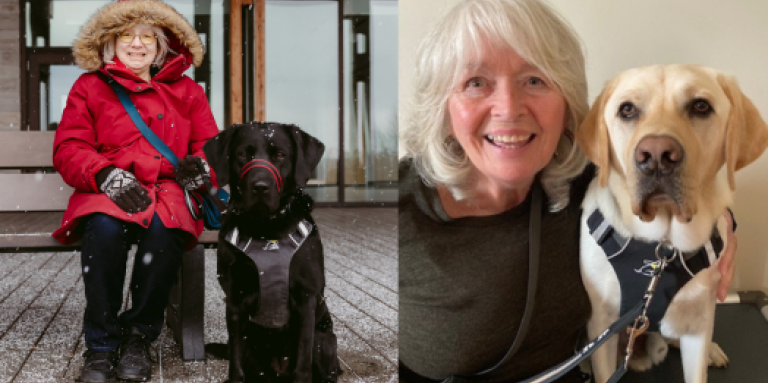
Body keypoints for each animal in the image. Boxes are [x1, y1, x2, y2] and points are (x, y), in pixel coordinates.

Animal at [204, 121, 340, 382]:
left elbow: (303, 364)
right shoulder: (234, 299)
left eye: (280, 155)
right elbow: (235, 362)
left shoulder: (305, 298)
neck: (266, 231)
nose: (260, 187)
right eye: (243, 154)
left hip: (324, 339)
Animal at [576, 64, 768, 382]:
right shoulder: (603, 327)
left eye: (701, 106)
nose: (656, 155)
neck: (662, 245)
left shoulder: (698, 322)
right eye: (627, 110)